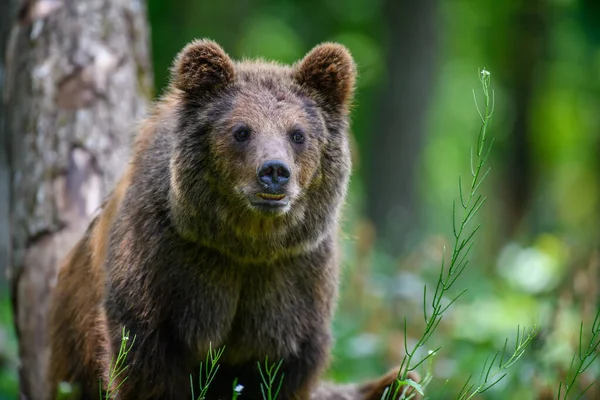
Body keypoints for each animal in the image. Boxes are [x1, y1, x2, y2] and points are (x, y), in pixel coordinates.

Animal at [48, 38, 418, 400]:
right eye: (241, 131)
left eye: (298, 134)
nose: (274, 172)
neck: (245, 244)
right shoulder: (163, 265)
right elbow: (144, 364)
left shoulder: (293, 280)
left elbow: (283, 369)